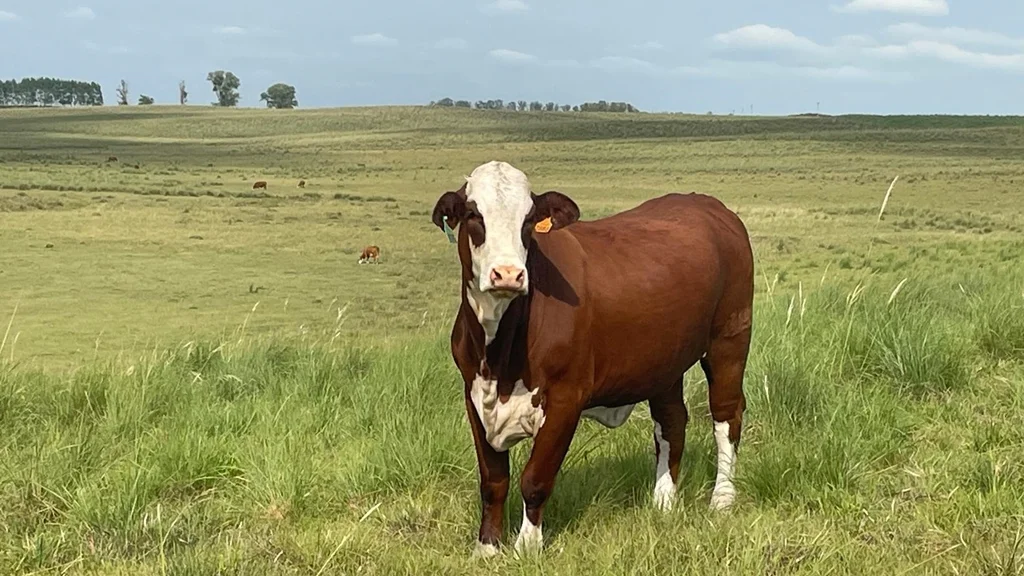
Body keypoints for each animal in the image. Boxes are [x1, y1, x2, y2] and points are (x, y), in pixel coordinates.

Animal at [430, 161, 753, 558]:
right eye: (475, 215)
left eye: (528, 221)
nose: (508, 274)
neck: (498, 356)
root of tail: (707, 204)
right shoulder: (475, 394)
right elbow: (493, 480)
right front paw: (487, 548)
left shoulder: (566, 398)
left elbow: (535, 479)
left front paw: (527, 547)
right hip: (664, 361)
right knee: (672, 422)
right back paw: (662, 503)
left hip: (730, 339)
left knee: (726, 416)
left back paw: (722, 499)